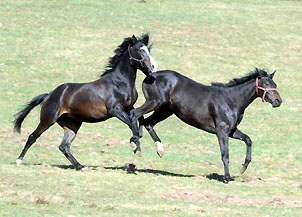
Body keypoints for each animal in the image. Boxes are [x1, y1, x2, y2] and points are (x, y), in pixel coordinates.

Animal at [13, 33, 158, 170]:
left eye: (149, 50)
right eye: (140, 50)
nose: (153, 66)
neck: (119, 82)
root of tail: (48, 95)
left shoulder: (129, 107)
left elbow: (137, 121)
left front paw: (140, 145)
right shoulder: (115, 110)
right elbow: (131, 124)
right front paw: (136, 146)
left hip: (72, 124)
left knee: (64, 146)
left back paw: (80, 166)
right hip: (48, 120)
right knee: (33, 136)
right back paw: (18, 161)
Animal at [131, 68, 282, 181]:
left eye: (274, 84)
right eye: (266, 84)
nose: (278, 101)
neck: (231, 100)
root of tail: (150, 76)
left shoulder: (231, 130)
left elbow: (248, 140)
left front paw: (243, 167)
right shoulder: (222, 131)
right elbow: (225, 154)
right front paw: (227, 177)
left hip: (165, 110)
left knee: (147, 122)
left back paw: (158, 149)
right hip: (155, 102)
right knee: (135, 114)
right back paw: (135, 144)